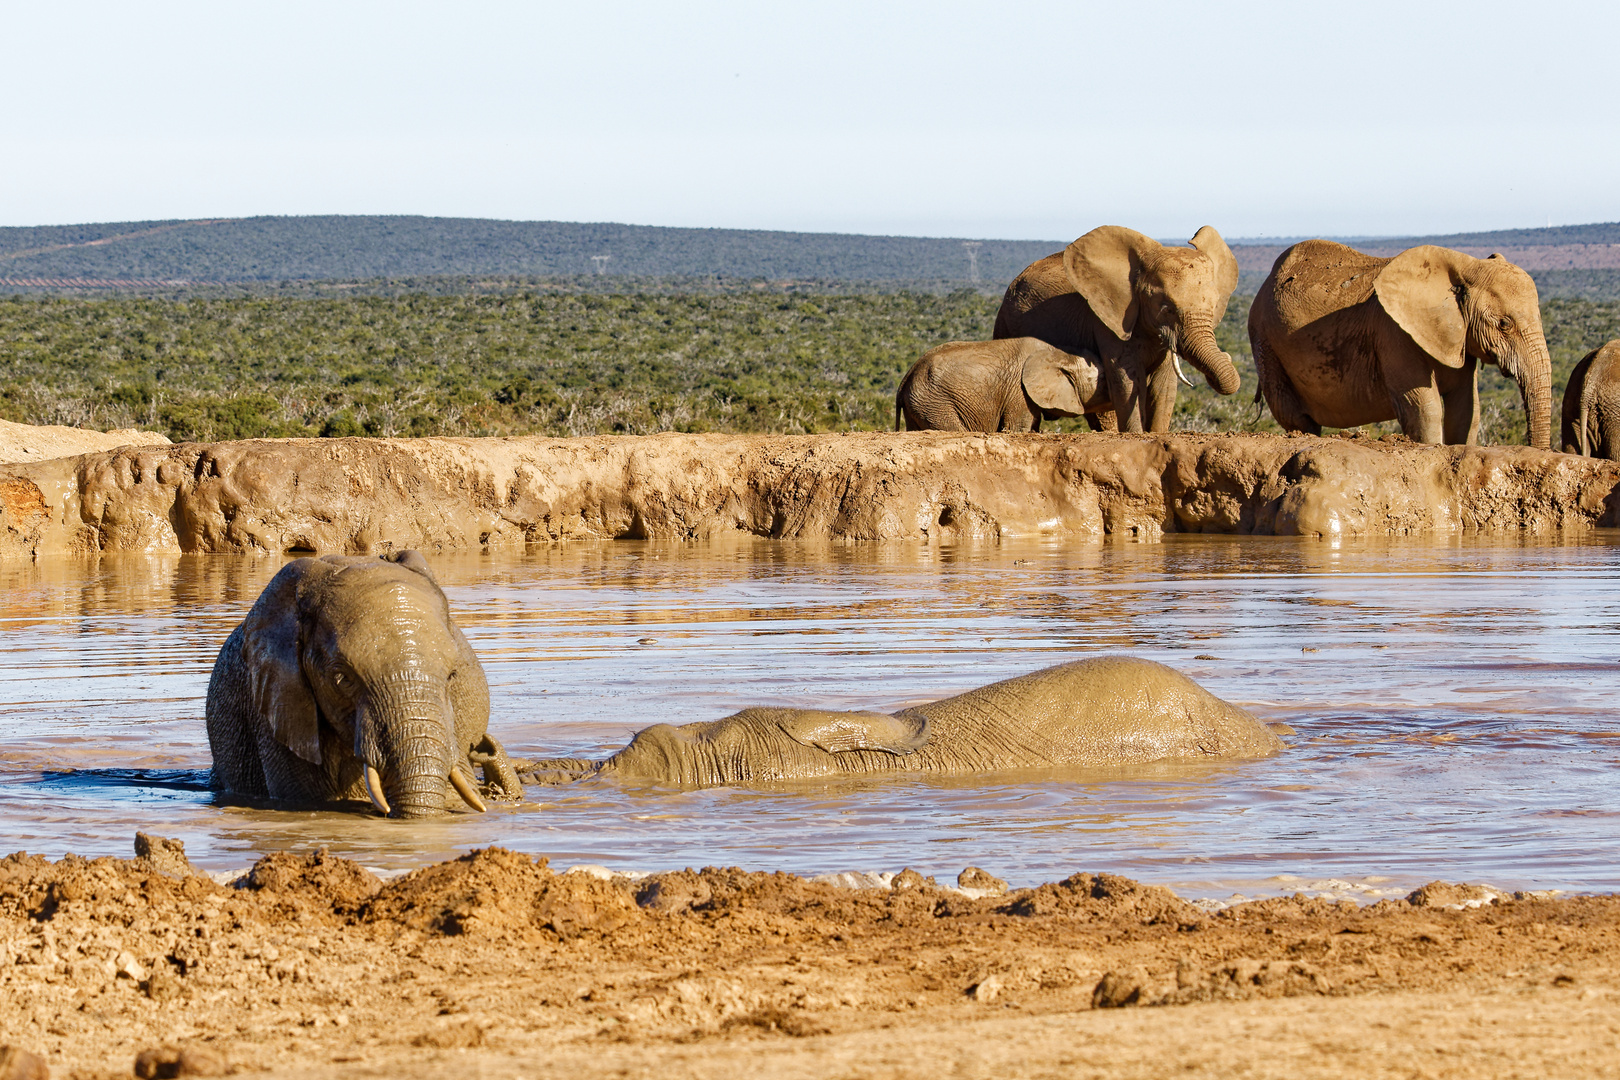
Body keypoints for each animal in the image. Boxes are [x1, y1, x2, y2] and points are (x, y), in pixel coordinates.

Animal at [900, 335, 1114, 433]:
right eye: (1104, 379)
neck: (1058, 352)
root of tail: (907, 375)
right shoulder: (1019, 392)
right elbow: (1018, 428)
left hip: (919, 404)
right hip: (934, 402)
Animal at [984, 226, 1237, 433]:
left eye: (1215, 305)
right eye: (1167, 309)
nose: (1227, 355)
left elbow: (1163, 387)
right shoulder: (1107, 321)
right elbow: (1127, 381)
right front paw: (1136, 435)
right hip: (1004, 324)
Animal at [1244, 241, 1548, 446]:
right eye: (1504, 324)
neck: (1465, 265)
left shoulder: (1460, 338)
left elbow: (1466, 409)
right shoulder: (1393, 334)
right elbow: (1424, 409)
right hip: (1265, 341)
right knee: (1295, 415)